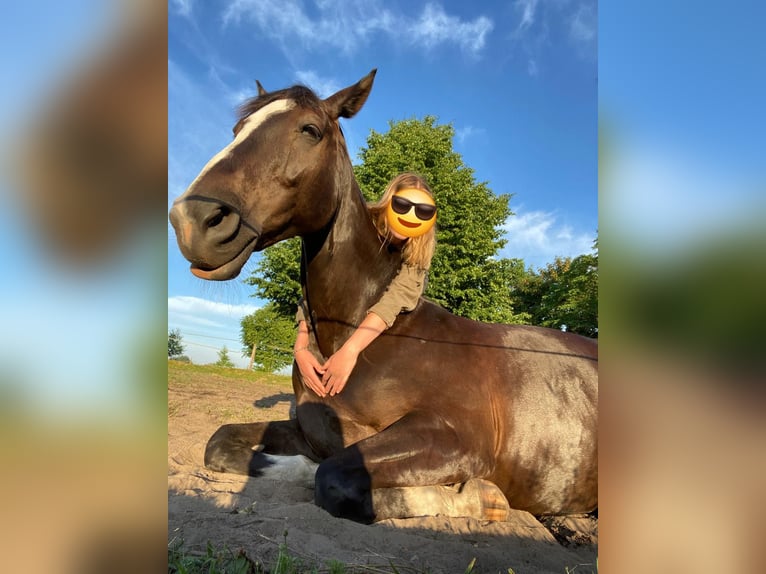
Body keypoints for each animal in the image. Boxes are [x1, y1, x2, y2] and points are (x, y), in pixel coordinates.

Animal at [170, 70, 600, 524]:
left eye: (310, 130)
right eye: (238, 129)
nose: (194, 219)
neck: (361, 337)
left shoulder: (456, 440)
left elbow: (333, 476)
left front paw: (479, 497)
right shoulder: (310, 431)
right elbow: (223, 444)